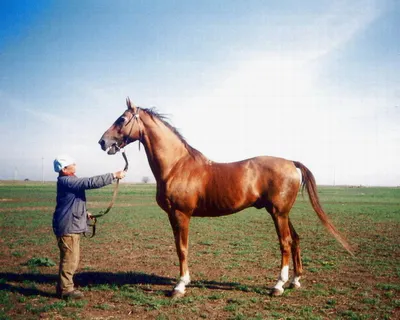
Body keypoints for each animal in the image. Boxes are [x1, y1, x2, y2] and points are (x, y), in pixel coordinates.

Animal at [98, 98, 352, 298]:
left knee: (286, 243)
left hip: (278, 213)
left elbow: (183, 248)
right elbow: (178, 247)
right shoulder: (172, 216)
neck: (177, 165)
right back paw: (295, 281)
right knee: (296, 239)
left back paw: (278, 285)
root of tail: (291, 162)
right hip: (281, 212)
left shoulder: (182, 215)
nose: (103, 142)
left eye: (122, 119)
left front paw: (180, 286)